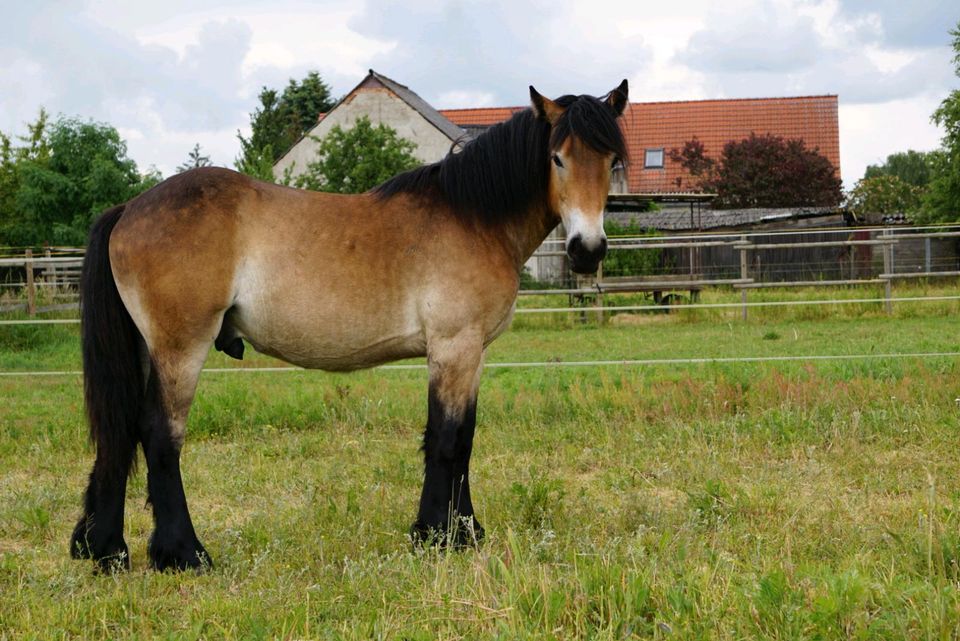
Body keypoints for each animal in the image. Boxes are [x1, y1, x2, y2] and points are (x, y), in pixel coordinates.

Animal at [69, 79, 632, 568]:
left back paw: (106, 550)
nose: (587, 250)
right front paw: (434, 536)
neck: (474, 218)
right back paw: (183, 554)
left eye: (610, 161)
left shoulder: (473, 354)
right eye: (557, 158)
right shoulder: (453, 347)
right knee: (160, 435)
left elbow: (466, 439)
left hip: (147, 350)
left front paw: (466, 532)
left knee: (121, 432)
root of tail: (128, 209)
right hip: (181, 348)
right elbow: (447, 440)